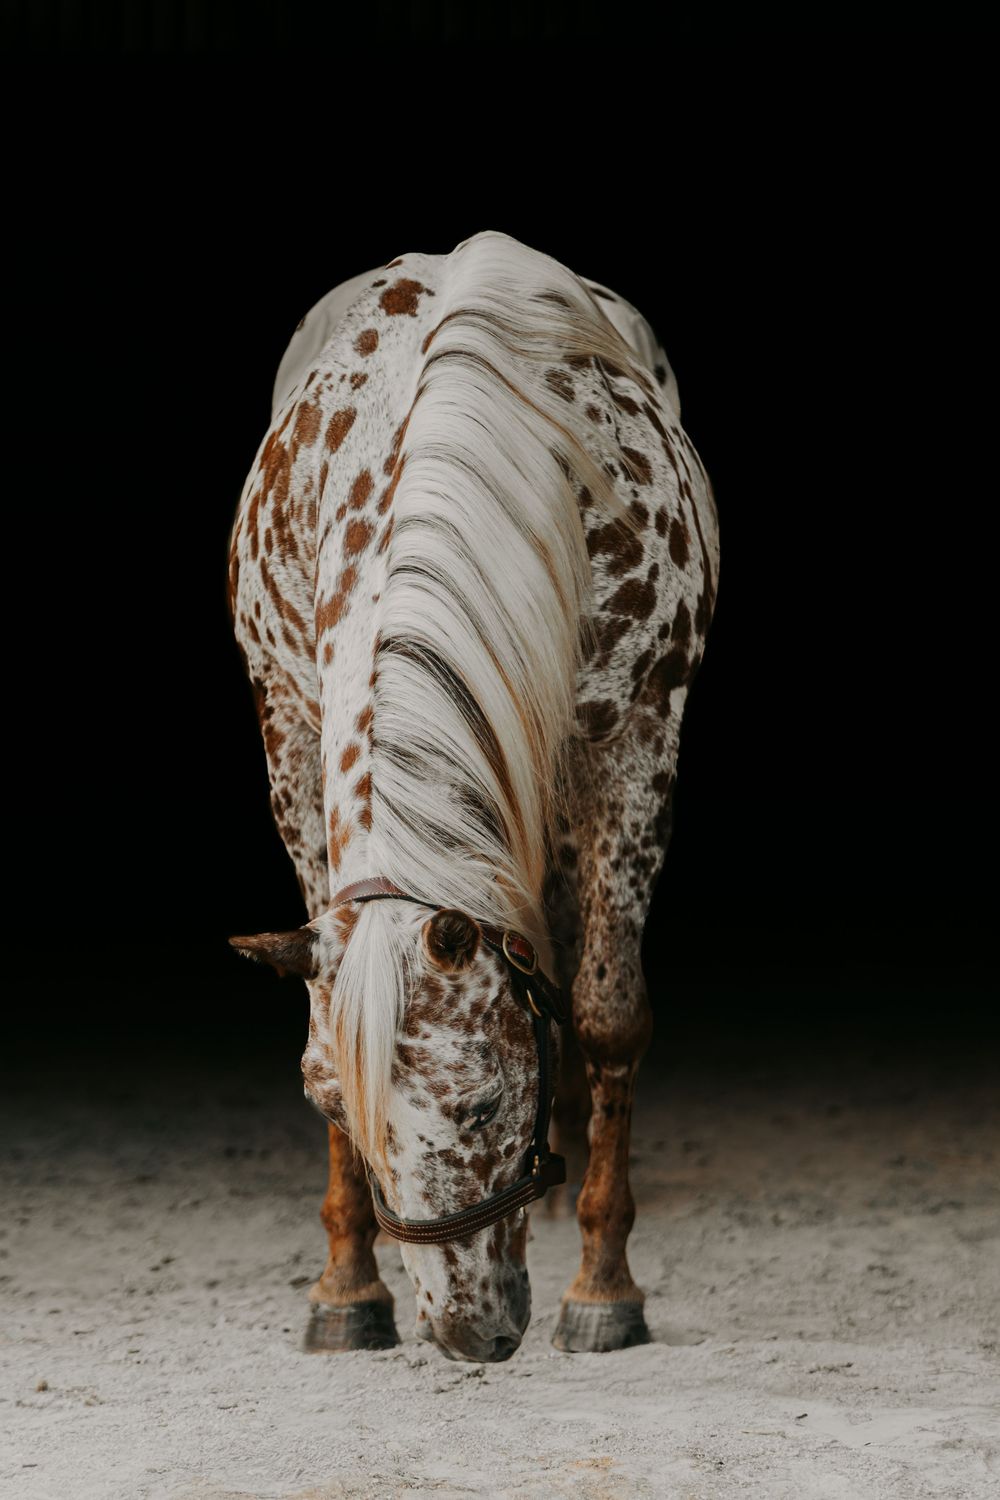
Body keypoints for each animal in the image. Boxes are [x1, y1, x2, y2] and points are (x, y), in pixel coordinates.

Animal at [226, 229, 719, 1363]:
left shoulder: (633, 741)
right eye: (343, 1111)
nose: (466, 1330)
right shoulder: (292, 731)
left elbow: (607, 1013)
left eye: (488, 1105)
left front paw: (604, 1286)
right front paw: (347, 1286)